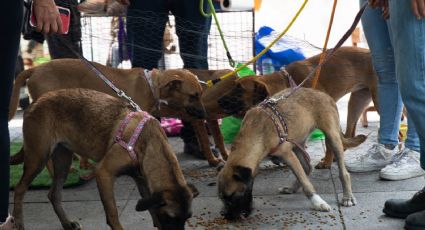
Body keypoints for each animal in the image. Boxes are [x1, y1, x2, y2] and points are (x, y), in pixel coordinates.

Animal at [12, 89, 197, 230]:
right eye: (170, 217)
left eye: (186, 218)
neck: (149, 141)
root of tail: (34, 103)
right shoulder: (104, 173)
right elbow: (112, 212)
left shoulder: (143, 182)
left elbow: (151, 210)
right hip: (38, 157)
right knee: (20, 189)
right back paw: (18, 222)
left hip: (62, 162)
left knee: (54, 194)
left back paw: (66, 223)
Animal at [217, 47, 376, 169]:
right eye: (235, 85)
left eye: (239, 88)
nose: (219, 101)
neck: (288, 83)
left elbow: (328, 141)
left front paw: (327, 162)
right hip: (356, 102)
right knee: (349, 133)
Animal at [217, 87, 366, 219]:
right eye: (221, 198)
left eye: (233, 196)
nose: (224, 216)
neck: (255, 134)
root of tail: (324, 95)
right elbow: (302, 175)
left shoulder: (287, 154)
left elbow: (305, 182)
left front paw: (318, 202)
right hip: (297, 142)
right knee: (307, 167)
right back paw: (292, 188)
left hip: (332, 137)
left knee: (343, 172)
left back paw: (347, 197)